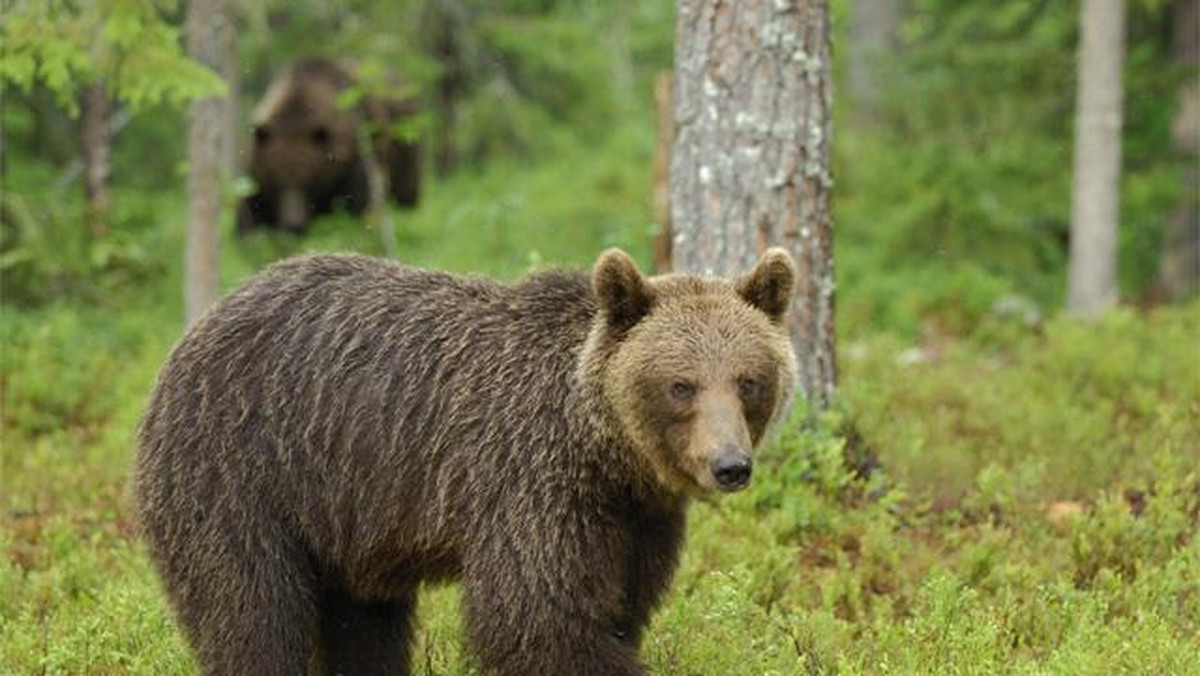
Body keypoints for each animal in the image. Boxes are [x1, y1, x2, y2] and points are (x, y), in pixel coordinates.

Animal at [133, 249, 796, 676]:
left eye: (749, 380)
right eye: (682, 385)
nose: (731, 465)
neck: (604, 453)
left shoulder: (635, 521)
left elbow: (616, 609)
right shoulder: (530, 482)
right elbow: (537, 618)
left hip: (346, 518)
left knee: (364, 629)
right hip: (238, 472)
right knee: (251, 612)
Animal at [235, 58, 422, 237]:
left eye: (308, 178)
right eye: (275, 179)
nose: (293, 225)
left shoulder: (357, 156)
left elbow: (358, 204)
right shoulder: (256, 169)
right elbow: (250, 212)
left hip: (406, 145)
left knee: (406, 193)